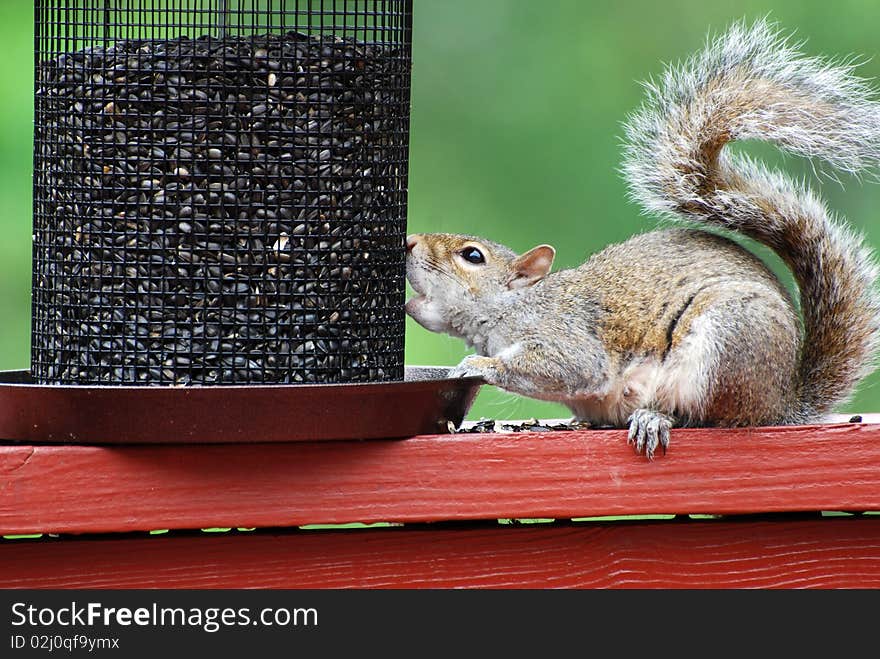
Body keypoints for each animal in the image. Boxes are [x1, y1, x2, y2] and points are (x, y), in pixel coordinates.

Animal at [404, 19, 880, 458]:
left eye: (472, 256)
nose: (409, 242)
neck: (521, 304)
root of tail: (781, 402)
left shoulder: (568, 338)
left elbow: (567, 367)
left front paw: (478, 364)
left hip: (725, 344)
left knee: (712, 418)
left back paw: (656, 419)